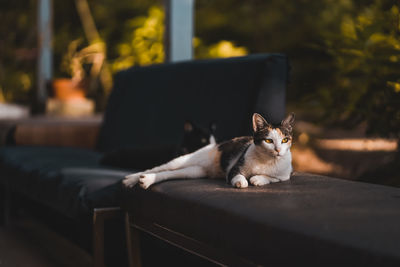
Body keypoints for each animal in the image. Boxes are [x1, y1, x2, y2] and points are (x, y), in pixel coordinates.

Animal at [123, 112, 296, 189]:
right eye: (268, 141)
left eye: (285, 140)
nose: (278, 150)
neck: (266, 161)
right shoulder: (233, 169)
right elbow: (238, 176)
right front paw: (242, 182)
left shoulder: (285, 175)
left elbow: (272, 178)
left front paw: (258, 179)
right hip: (183, 160)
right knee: (158, 168)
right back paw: (131, 179)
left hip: (193, 171)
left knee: (169, 174)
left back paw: (145, 181)